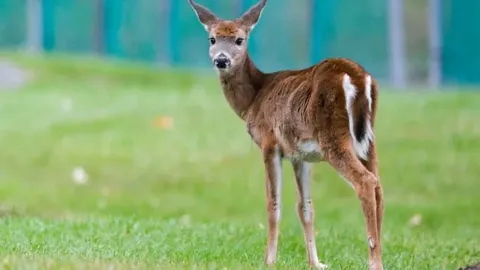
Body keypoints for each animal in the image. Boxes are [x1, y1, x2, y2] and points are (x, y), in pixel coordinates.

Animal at [188, 0, 386, 268]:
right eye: (212, 38)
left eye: (239, 39)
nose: (221, 60)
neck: (254, 99)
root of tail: (356, 77)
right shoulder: (299, 154)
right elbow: (306, 208)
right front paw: (316, 263)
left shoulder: (269, 142)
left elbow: (273, 204)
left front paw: (269, 260)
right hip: (368, 140)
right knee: (378, 186)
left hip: (333, 136)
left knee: (365, 182)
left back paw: (374, 261)